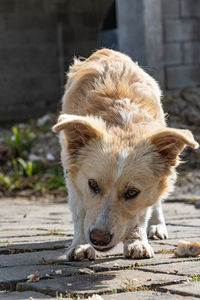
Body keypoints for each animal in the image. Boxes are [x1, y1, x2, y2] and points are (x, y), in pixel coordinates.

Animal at [53, 48, 198, 260]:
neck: (122, 122)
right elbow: (80, 212)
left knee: (156, 203)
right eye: (93, 185)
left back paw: (157, 225)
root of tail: (109, 51)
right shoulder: (73, 175)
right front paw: (80, 245)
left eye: (132, 192)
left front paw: (137, 242)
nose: (98, 239)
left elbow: (141, 214)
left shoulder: (143, 195)